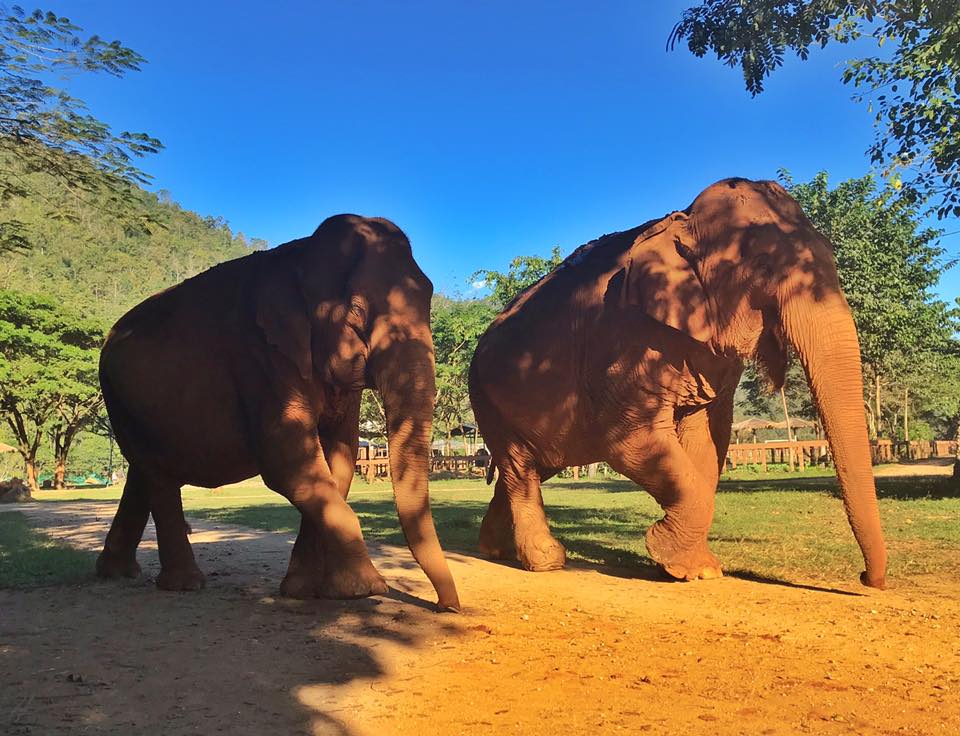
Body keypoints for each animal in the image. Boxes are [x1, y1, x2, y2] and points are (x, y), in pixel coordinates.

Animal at [96, 213, 462, 608]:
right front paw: (365, 590)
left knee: (141, 474)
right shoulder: (261, 357)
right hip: (121, 400)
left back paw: (117, 573)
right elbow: (287, 461)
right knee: (158, 476)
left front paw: (307, 591)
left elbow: (340, 456)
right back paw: (184, 584)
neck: (302, 255)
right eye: (357, 310)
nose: (447, 606)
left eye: (429, 296)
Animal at [468, 175, 888, 588]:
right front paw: (679, 559)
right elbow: (628, 439)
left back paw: (495, 550)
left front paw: (690, 569)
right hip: (487, 399)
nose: (866, 579)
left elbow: (707, 436)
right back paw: (546, 561)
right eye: (764, 265)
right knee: (520, 468)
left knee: (533, 465)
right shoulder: (626, 343)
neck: (682, 218)